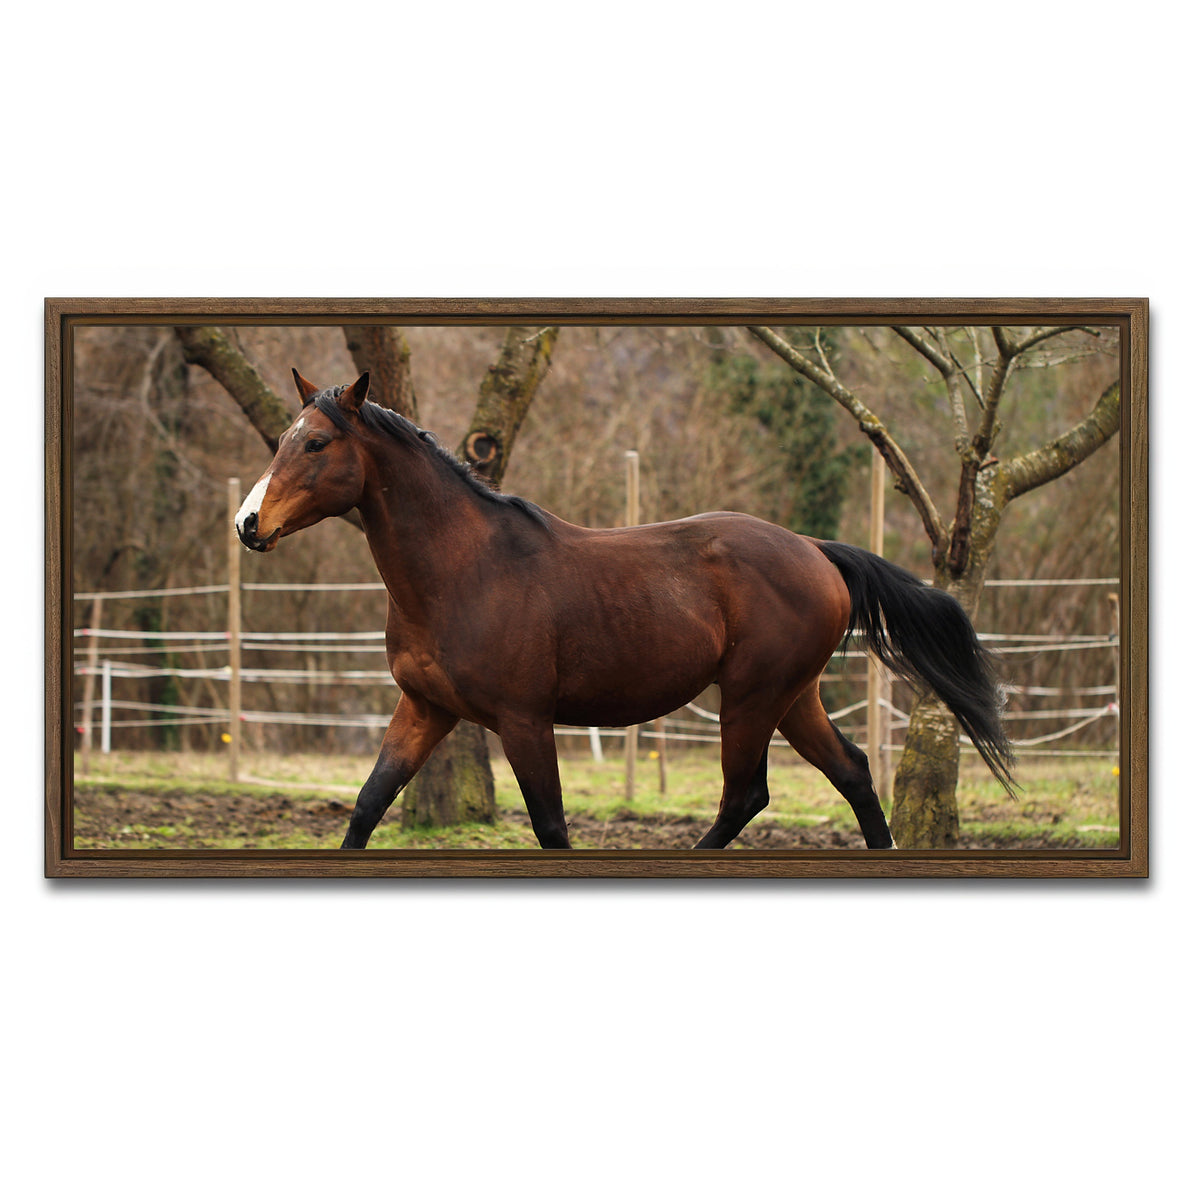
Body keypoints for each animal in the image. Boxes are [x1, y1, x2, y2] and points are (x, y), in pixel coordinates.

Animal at [235, 369, 1014, 851]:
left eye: (315, 442)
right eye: (281, 440)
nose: (247, 524)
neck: (462, 570)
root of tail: (815, 551)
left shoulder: (523, 720)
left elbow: (551, 825)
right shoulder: (424, 709)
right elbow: (369, 804)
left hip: (752, 697)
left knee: (745, 796)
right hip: (793, 697)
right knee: (850, 772)